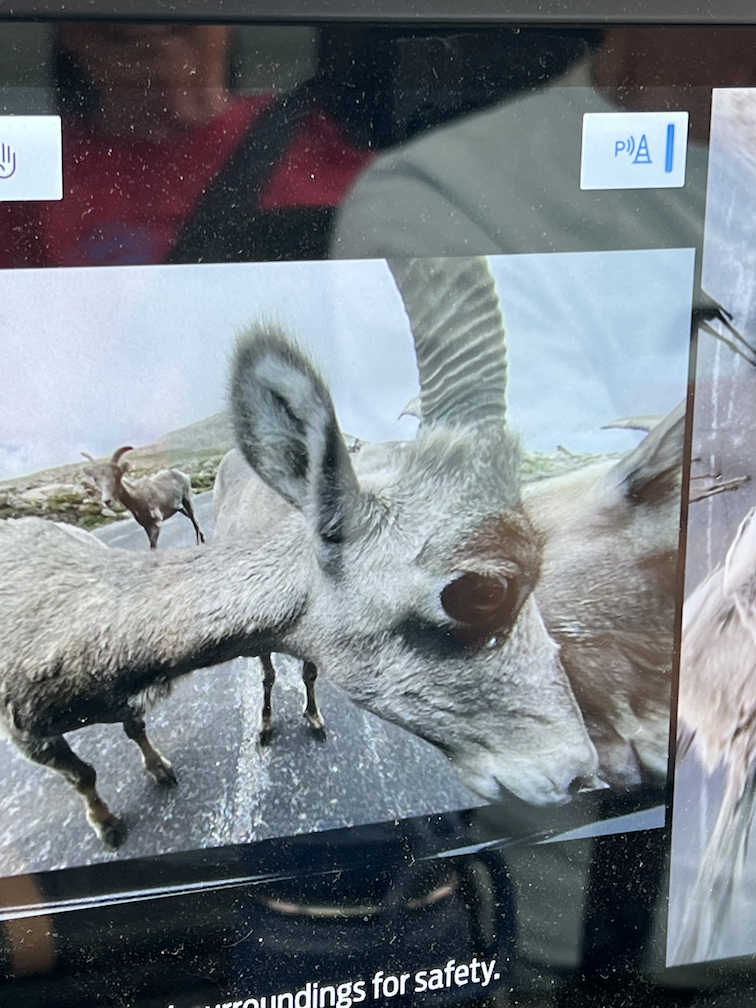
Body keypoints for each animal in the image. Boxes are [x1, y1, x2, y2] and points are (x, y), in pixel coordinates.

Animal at [0, 257, 600, 849]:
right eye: (484, 590)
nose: (577, 774)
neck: (78, 619)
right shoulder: (30, 736)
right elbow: (87, 771)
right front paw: (110, 825)